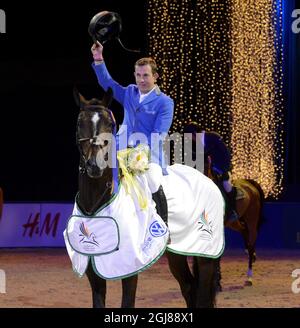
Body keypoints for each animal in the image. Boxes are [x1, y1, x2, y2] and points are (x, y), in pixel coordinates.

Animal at [71, 88, 219, 308]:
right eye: (80, 123)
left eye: (110, 124)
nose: (95, 166)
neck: (97, 203)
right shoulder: (92, 268)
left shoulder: (130, 268)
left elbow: (127, 303)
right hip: (177, 253)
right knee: (189, 287)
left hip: (205, 253)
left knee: (200, 294)